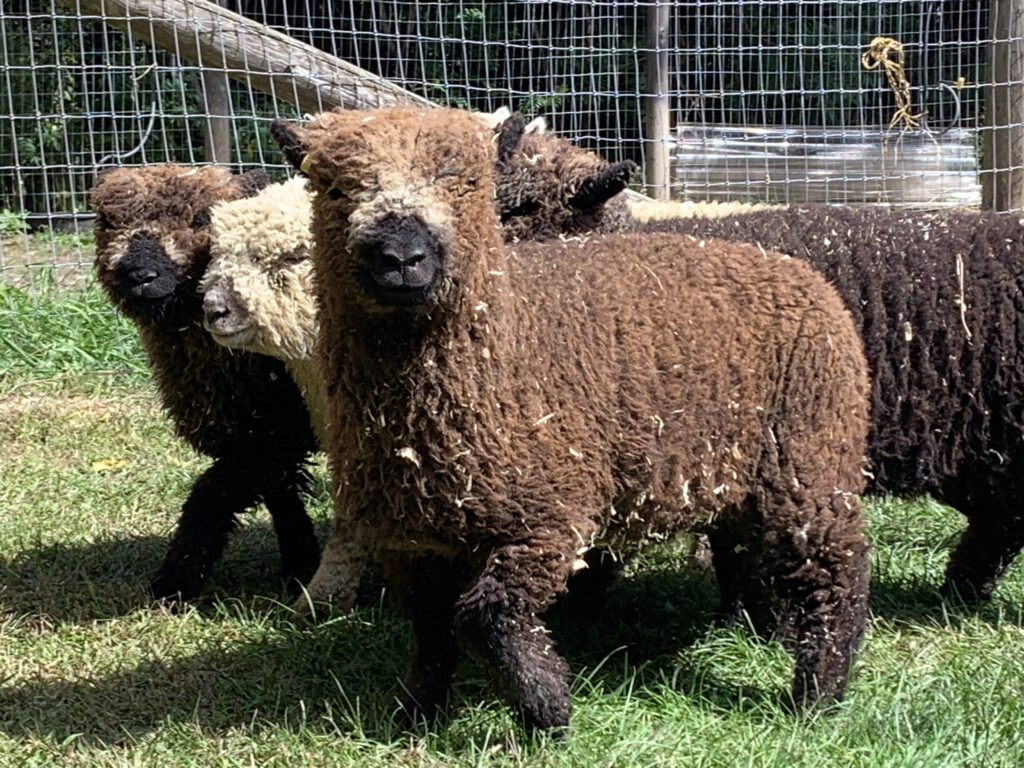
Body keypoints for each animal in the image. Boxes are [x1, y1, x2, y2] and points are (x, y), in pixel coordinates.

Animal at [91, 165, 319, 606]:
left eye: (200, 218)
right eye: (107, 222)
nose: (139, 276)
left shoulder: (280, 428)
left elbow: (213, 492)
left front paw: (174, 583)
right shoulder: (254, 428)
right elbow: (279, 493)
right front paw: (300, 565)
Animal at [268, 107, 868, 733]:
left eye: (468, 185)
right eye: (332, 187)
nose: (402, 259)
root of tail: (790, 268)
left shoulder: (550, 518)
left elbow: (485, 615)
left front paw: (548, 707)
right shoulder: (411, 542)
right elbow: (431, 632)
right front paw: (418, 714)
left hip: (808, 453)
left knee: (838, 569)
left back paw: (817, 695)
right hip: (735, 473)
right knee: (751, 549)